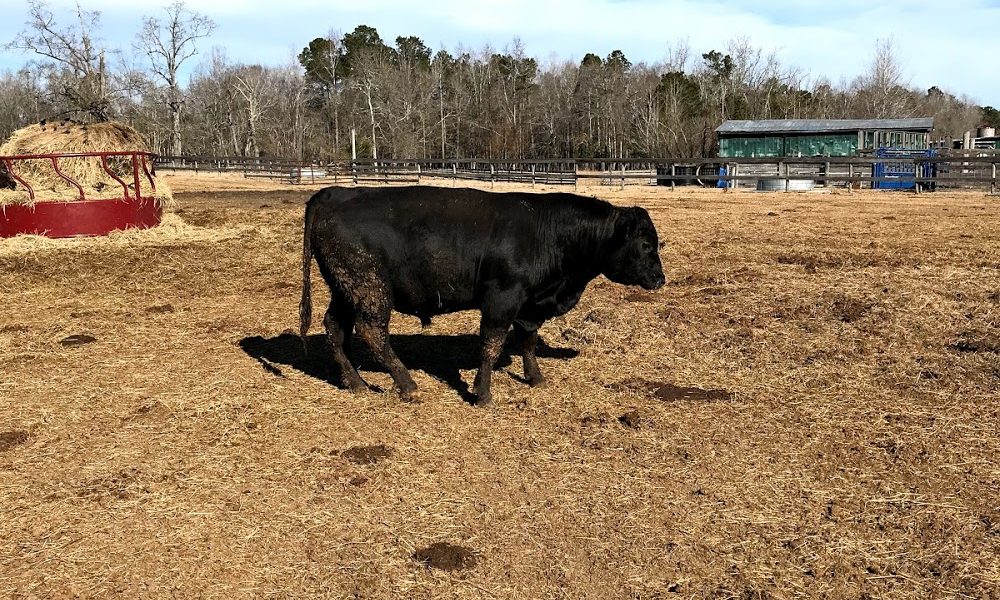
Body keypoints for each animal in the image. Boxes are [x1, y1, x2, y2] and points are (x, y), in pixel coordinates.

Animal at [300, 185, 668, 406]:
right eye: (645, 244)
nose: (660, 278)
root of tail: (336, 193)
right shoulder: (502, 299)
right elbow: (492, 344)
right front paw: (483, 392)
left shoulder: (528, 305)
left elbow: (527, 341)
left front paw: (535, 378)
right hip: (370, 289)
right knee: (372, 332)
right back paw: (406, 384)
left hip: (345, 289)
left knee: (334, 327)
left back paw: (354, 381)